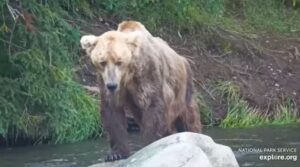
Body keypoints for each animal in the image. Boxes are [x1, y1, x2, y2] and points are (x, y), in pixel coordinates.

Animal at [81, 20, 200, 162]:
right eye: (102, 62)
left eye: (119, 61)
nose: (112, 85)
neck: (127, 75)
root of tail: (183, 59)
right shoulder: (107, 82)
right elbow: (112, 111)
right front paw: (116, 153)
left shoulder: (148, 75)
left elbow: (154, 107)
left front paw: (148, 144)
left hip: (183, 91)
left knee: (188, 119)